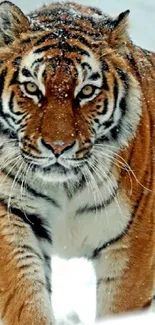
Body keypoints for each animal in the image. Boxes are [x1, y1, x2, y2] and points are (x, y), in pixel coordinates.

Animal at [0, 0, 155, 322]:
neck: (66, 187)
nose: (58, 147)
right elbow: (24, 298)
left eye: (86, 91)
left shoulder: (134, 244)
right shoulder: (11, 214)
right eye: (32, 88)